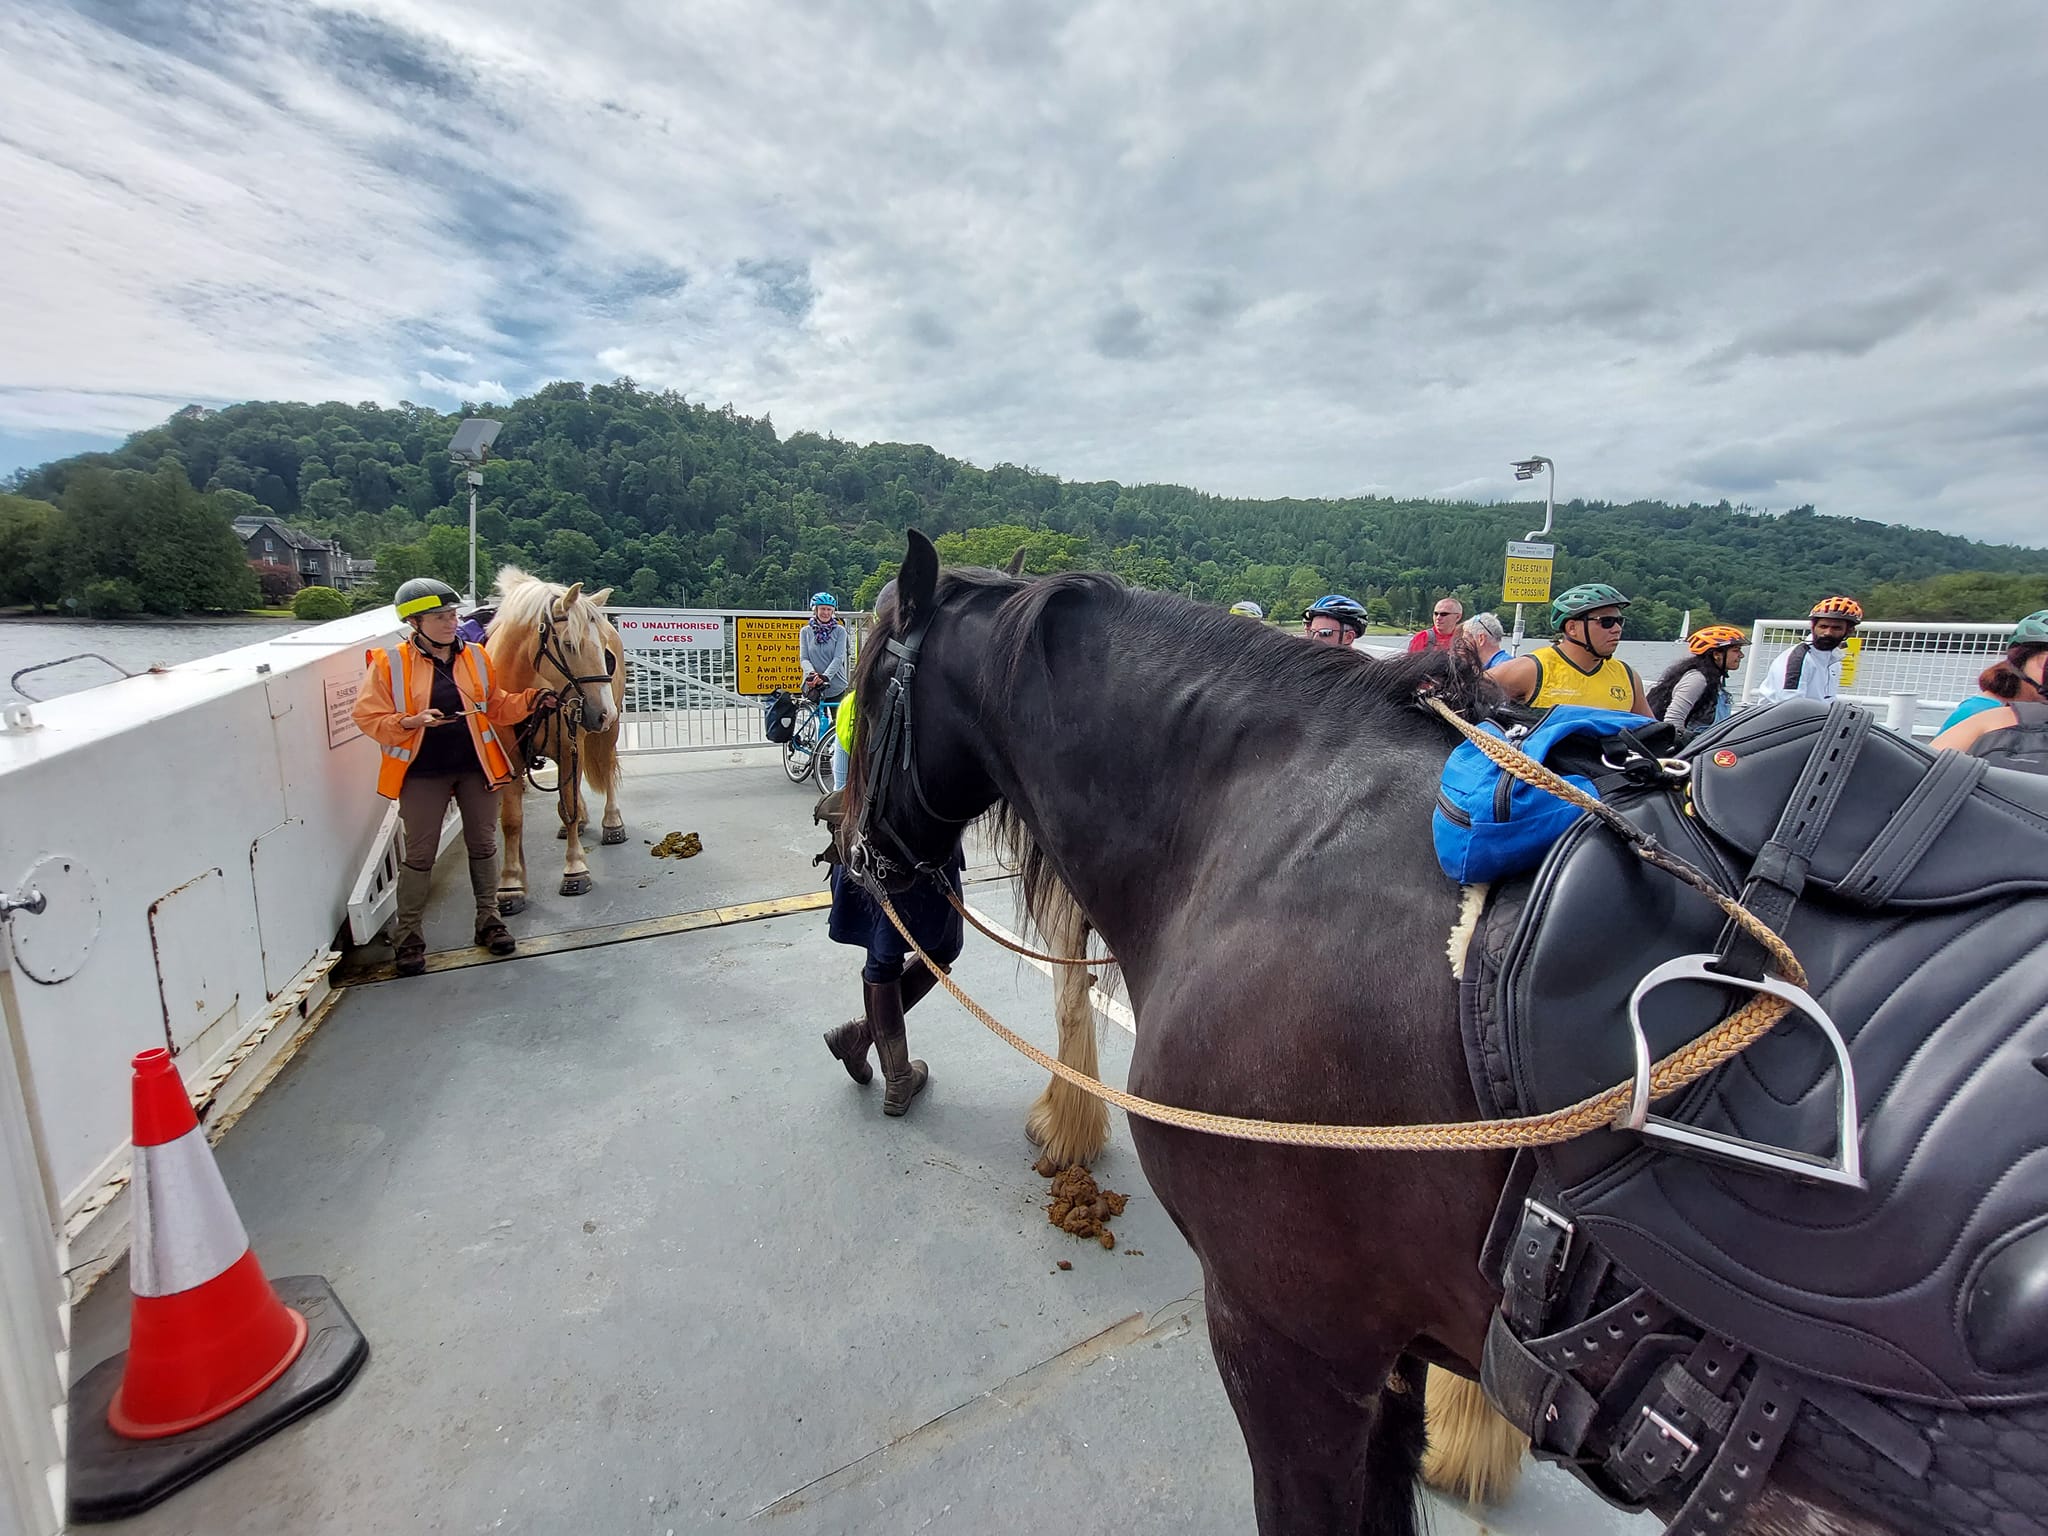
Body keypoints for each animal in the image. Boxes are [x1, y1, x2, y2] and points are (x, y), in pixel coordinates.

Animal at [485, 569, 622, 913]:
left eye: (606, 652)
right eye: (570, 644)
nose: (603, 713)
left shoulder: (569, 741)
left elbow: (568, 804)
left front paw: (575, 869)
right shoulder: (508, 755)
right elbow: (511, 819)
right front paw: (511, 882)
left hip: (605, 734)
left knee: (605, 769)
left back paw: (612, 822)